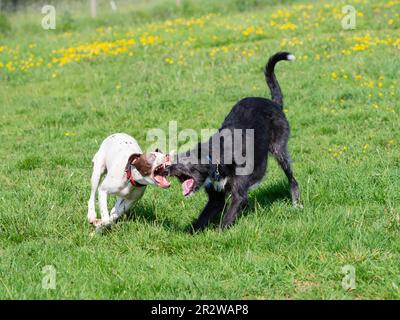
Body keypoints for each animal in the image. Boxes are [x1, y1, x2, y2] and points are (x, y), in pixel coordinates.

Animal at [166, 52, 300, 232]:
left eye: (185, 162)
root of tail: (274, 103)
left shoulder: (239, 194)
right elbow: (202, 218)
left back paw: (297, 205)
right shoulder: (215, 198)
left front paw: (218, 234)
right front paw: (188, 233)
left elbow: (228, 218)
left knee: (292, 180)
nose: (165, 169)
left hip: (280, 150)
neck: (216, 159)